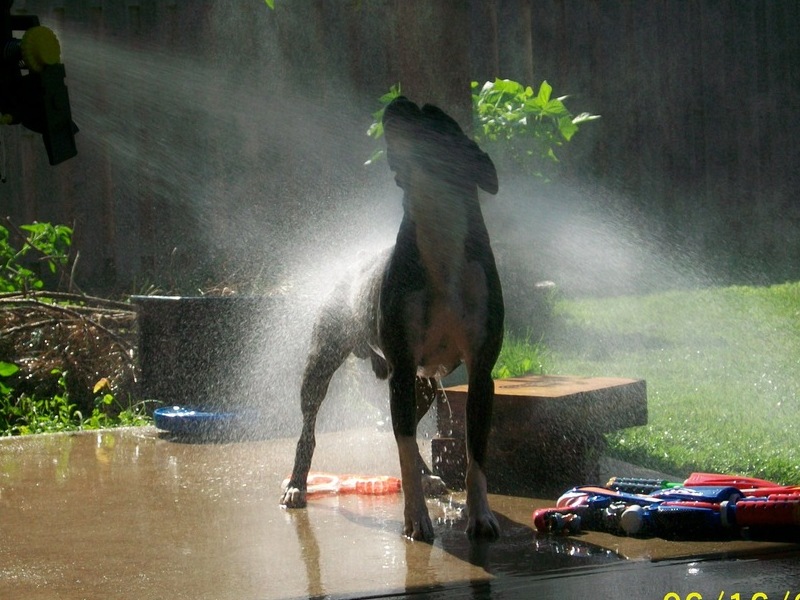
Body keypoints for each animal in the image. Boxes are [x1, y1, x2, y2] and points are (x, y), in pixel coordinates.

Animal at [282, 97, 504, 540]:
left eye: (432, 113)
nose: (401, 100)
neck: (438, 227)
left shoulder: (479, 375)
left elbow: (475, 456)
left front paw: (480, 516)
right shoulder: (402, 369)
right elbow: (403, 449)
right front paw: (416, 519)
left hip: (422, 387)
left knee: (409, 431)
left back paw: (430, 476)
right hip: (322, 366)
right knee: (309, 431)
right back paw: (298, 483)